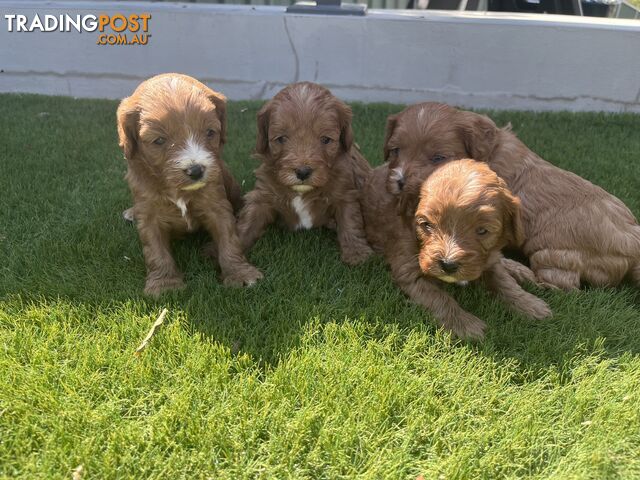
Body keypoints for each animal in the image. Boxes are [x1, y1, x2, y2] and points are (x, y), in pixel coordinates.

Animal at [117, 73, 262, 296]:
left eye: (210, 132)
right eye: (159, 141)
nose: (196, 171)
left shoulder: (216, 203)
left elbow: (229, 238)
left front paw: (240, 274)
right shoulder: (148, 212)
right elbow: (155, 249)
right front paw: (164, 284)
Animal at [238, 80, 372, 264]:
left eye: (326, 140)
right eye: (281, 139)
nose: (302, 172)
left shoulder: (345, 192)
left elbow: (350, 220)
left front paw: (357, 254)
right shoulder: (262, 195)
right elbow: (248, 222)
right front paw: (226, 250)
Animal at [362, 159, 552, 340]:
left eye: (482, 231)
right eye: (426, 225)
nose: (448, 265)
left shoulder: (488, 260)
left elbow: (504, 281)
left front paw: (530, 304)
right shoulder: (408, 269)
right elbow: (438, 297)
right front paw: (465, 324)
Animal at [382, 102, 640, 288]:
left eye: (438, 158)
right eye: (395, 150)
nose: (400, 182)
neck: (491, 152)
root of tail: (633, 240)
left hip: (553, 251)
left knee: (559, 285)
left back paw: (518, 270)